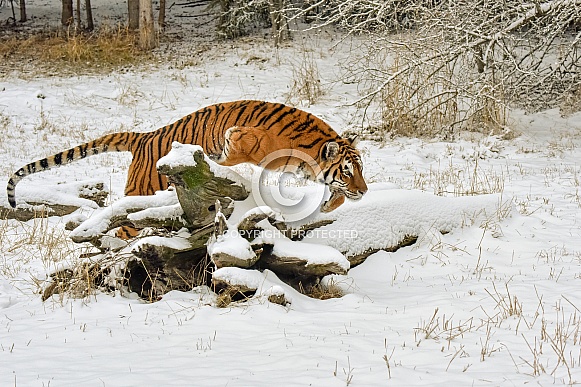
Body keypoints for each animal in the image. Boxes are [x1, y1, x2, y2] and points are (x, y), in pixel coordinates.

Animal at [6, 100, 368, 221]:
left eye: (360, 171)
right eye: (347, 171)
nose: (364, 191)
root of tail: (143, 136)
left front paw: (327, 206)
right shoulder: (244, 138)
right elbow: (232, 157)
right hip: (142, 188)